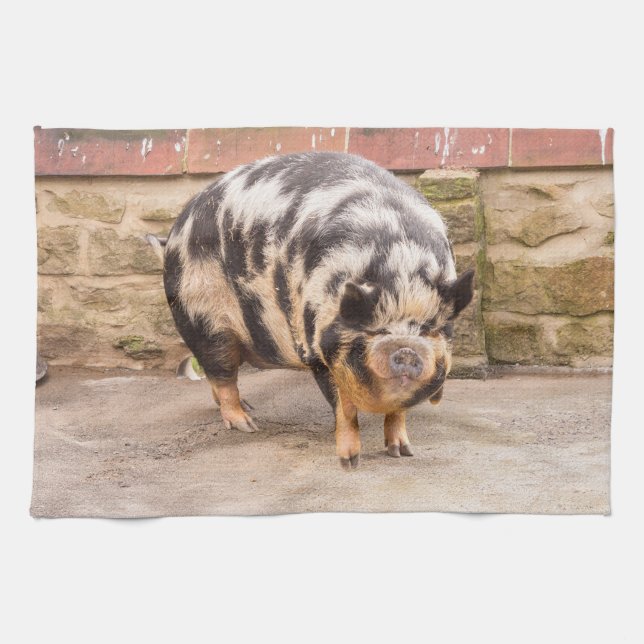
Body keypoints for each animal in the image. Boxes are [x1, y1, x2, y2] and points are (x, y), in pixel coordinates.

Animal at [160, 152, 474, 469]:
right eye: (375, 329)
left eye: (431, 328)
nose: (407, 350)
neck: (400, 268)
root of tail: (175, 232)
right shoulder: (315, 348)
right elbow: (344, 409)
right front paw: (350, 463)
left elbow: (397, 411)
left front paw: (402, 452)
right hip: (202, 316)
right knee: (221, 371)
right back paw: (247, 424)